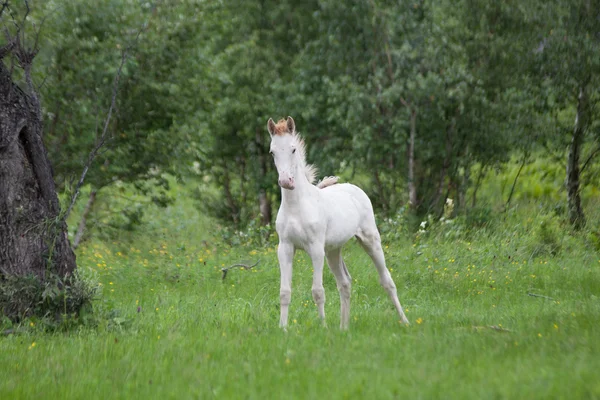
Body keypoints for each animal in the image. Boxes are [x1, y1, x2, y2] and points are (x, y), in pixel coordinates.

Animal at [270, 115, 410, 328]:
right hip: (333, 251)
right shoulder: (285, 248)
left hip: (370, 240)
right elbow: (284, 292)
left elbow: (318, 291)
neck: (297, 207)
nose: (286, 181)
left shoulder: (316, 248)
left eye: (293, 149)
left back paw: (405, 321)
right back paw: (344, 328)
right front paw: (283, 329)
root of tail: (355, 188)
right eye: (272, 152)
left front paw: (323, 327)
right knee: (345, 282)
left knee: (387, 280)